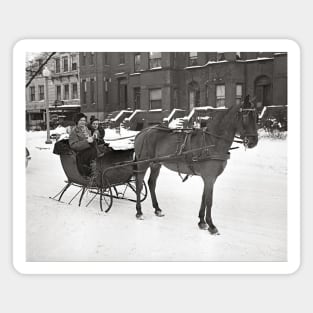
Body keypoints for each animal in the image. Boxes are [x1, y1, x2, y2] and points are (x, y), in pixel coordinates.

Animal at [133, 101, 258, 233]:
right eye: (245, 116)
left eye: (256, 116)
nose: (254, 141)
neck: (212, 142)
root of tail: (141, 133)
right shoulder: (209, 177)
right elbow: (209, 200)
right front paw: (211, 225)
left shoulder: (209, 178)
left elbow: (204, 197)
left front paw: (202, 222)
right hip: (143, 163)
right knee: (139, 185)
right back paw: (139, 212)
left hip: (156, 164)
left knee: (151, 183)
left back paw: (157, 209)